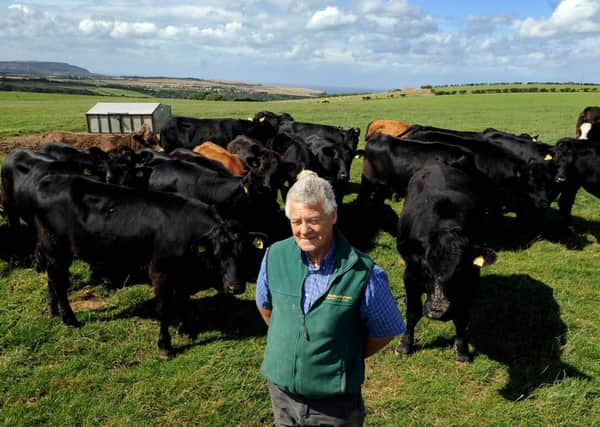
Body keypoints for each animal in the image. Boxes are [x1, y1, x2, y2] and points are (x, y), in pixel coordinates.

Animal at [32, 174, 248, 362]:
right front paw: (165, 347)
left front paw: (186, 331)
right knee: (59, 282)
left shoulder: (182, 273)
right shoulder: (160, 271)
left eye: (242, 252)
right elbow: (164, 308)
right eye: (218, 253)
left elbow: (183, 301)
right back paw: (70, 319)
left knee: (53, 278)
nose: (236, 287)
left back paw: (52, 311)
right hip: (56, 247)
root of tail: (50, 179)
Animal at [398, 163, 496, 362]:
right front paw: (405, 346)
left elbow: (461, 318)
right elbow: (413, 312)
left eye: (460, 269)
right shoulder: (411, 275)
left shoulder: (471, 281)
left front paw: (462, 351)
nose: (438, 310)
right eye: (426, 268)